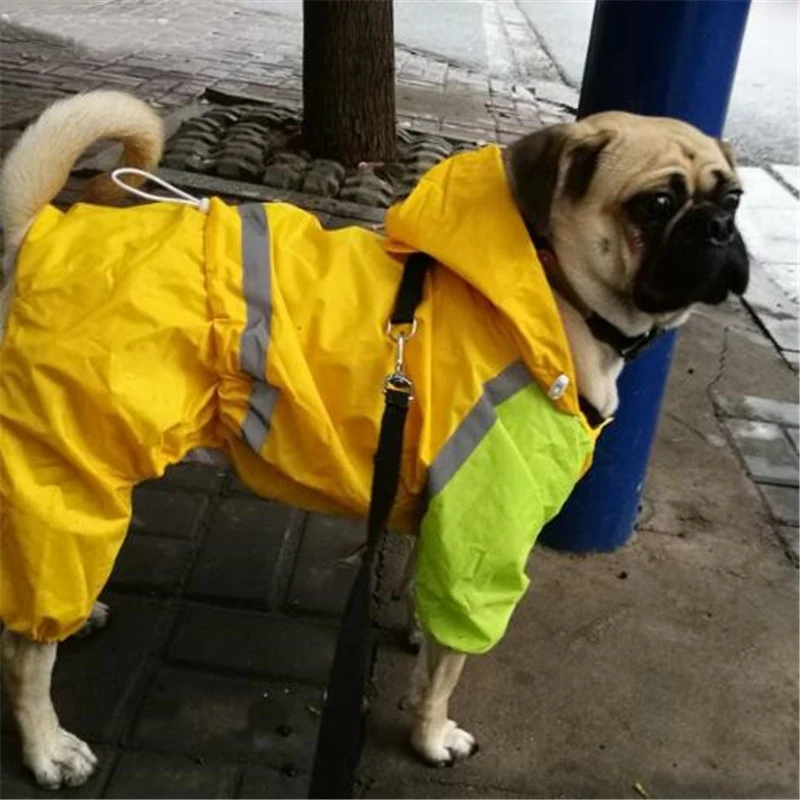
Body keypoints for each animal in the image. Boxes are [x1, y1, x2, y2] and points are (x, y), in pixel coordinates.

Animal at [0, 92, 752, 788]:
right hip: (73, 462)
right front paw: (433, 735)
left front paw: (420, 626)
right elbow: (446, 673)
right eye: (656, 205)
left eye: (735, 196)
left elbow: (431, 606)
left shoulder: (451, 515)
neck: (548, 290)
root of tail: (41, 232)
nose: (720, 227)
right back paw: (46, 746)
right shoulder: (487, 532)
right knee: (25, 646)